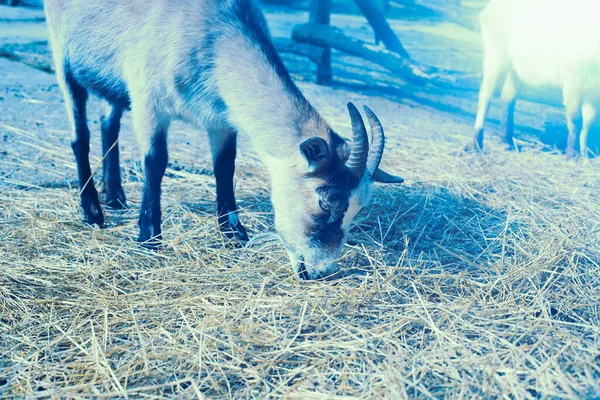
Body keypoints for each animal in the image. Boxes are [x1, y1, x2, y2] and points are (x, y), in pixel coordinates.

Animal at [45, 0, 404, 280]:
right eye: (324, 202)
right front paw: (149, 236)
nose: (321, 272)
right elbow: (155, 162)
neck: (215, 32)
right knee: (80, 135)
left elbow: (224, 166)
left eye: (358, 209)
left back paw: (116, 197)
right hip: (64, 57)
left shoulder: (220, 117)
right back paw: (93, 209)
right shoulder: (148, 100)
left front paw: (233, 231)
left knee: (108, 125)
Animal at [474, 0, 600, 158]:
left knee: (507, 97)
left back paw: (507, 142)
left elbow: (589, 121)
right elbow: (576, 119)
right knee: (485, 95)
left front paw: (584, 156)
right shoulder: (573, 79)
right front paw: (572, 156)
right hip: (496, 52)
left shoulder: (592, 88)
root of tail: (490, 8)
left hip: (515, 67)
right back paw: (476, 142)